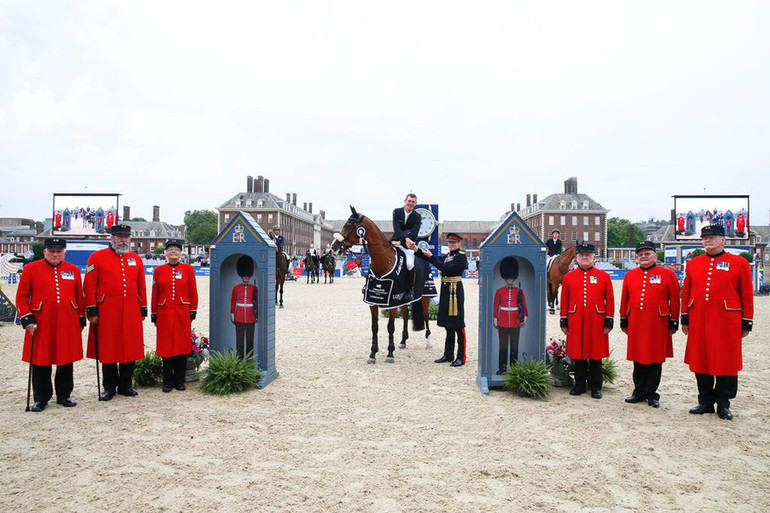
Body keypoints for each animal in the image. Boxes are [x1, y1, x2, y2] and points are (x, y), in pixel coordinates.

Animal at [330, 205, 432, 364]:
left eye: (348, 226)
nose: (334, 247)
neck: (383, 262)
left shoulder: (391, 303)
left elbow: (390, 327)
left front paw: (390, 353)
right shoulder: (373, 301)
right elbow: (375, 327)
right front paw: (372, 353)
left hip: (426, 296)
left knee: (426, 316)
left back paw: (428, 343)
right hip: (402, 300)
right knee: (404, 315)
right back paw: (403, 341)